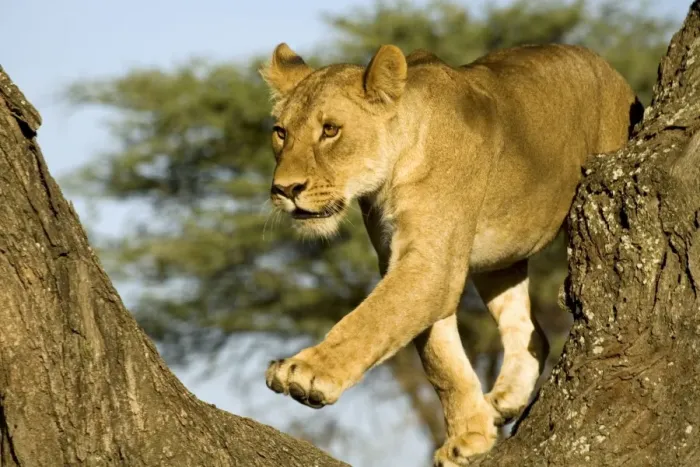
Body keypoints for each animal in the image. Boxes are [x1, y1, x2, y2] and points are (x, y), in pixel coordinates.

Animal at [260, 42, 641, 466]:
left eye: (330, 129)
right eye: (281, 132)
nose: (284, 189)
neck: (392, 172)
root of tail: (611, 70)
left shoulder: (432, 266)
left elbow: (370, 319)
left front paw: (307, 370)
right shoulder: (406, 261)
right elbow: (441, 362)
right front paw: (471, 436)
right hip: (499, 261)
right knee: (531, 331)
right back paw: (503, 401)